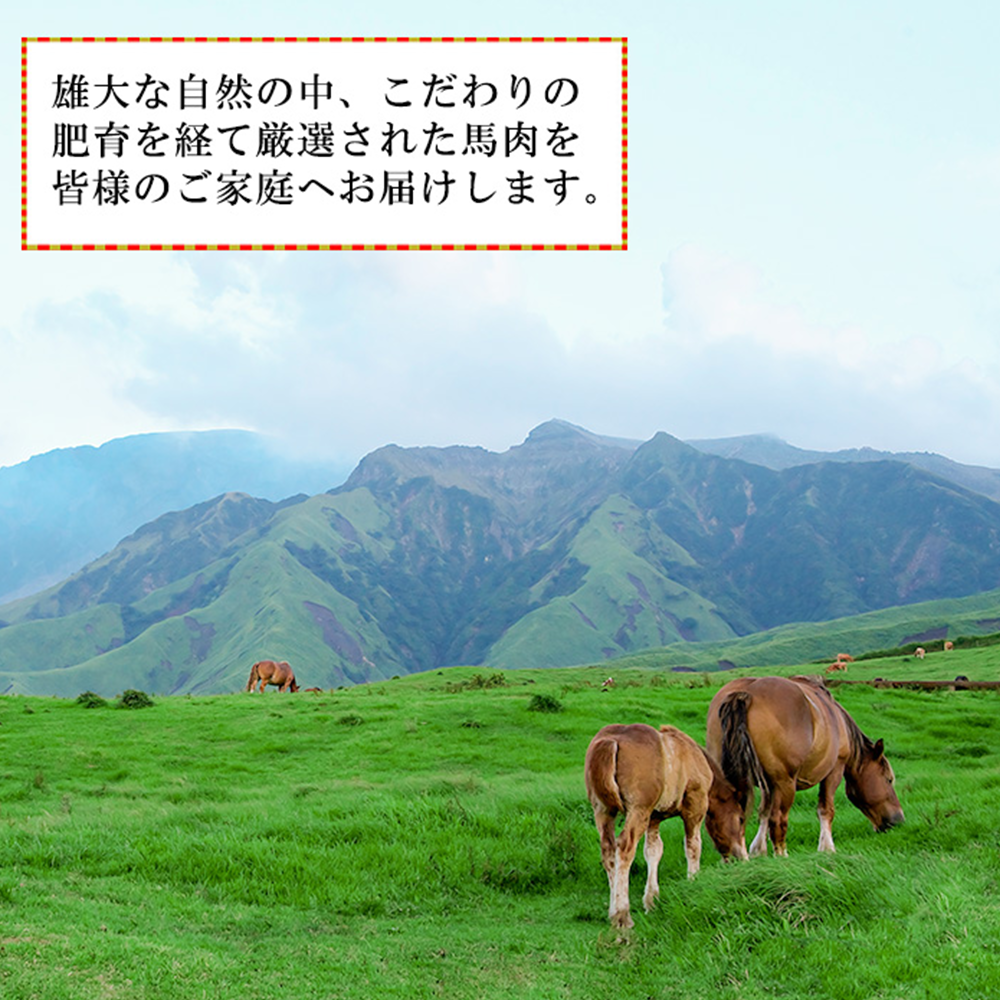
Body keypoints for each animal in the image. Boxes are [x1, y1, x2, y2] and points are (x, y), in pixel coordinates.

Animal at [584, 723, 748, 929]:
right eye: (741, 819)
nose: (743, 857)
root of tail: (611, 741)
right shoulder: (695, 805)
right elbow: (693, 846)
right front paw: (694, 883)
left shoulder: (653, 818)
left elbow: (653, 851)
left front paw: (652, 900)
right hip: (638, 810)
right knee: (625, 847)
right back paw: (622, 914)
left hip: (603, 811)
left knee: (608, 851)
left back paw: (614, 912)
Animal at [706, 675, 903, 858]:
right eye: (888, 780)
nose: (899, 819)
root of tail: (746, 693)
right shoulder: (834, 771)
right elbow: (826, 810)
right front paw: (827, 848)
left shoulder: (766, 783)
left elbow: (763, 812)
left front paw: (758, 850)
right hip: (785, 783)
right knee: (778, 819)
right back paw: (782, 855)